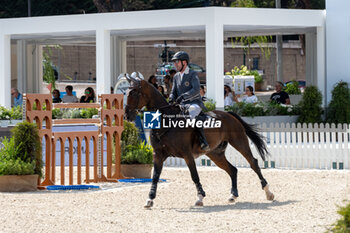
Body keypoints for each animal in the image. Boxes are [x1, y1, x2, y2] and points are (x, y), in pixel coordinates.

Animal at [124, 74, 274, 208]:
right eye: (125, 92)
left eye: (134, 93)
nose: (127, 116)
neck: (166, 122)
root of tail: (228, 114)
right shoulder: (158, 155)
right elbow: (155, 176)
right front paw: (149, 199)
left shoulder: (187, 154)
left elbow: (194, 175)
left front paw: (200, 197)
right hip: (215, 154)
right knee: (232, 170)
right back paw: (233, 195)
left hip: (239, 143)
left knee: (253, 163)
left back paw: (268, 192)